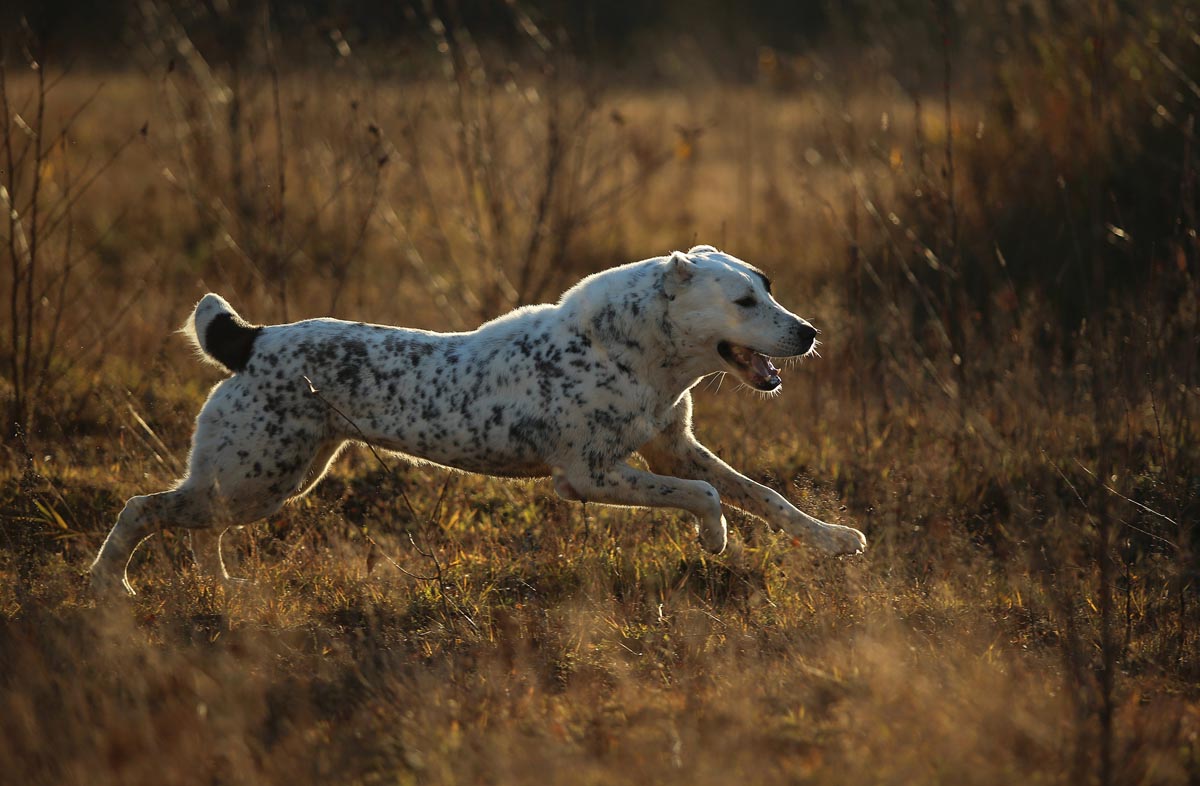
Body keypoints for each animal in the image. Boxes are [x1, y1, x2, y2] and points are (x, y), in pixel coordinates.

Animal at [88, 246, 868, 597]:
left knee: (200, 529)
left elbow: (767, 497)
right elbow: (708, 499)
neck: (636, 350)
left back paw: (223, 588)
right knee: (142, 508)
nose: (808, 332)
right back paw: (107, 587)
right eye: (743, 301)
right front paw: (714, 539)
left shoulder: (675, 450)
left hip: (268, 477)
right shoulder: (588, 477)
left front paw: (833, 539)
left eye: (767, 288)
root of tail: (250, 339)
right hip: (258, 473)